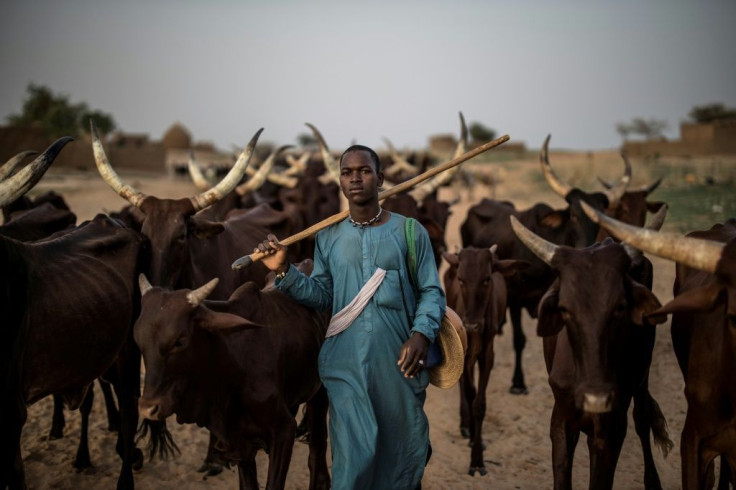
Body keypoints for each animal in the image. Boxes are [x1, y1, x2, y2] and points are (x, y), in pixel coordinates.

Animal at [136, 270, 330, 490]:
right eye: (139, 340)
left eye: (179, 341)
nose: (148, 408)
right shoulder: (239, 445)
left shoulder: (283, 430)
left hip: (320, 394)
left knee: (318, 455)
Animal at [440, 247, 528, 476]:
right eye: (461, 279)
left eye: (487, 278)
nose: (471, 324)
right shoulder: (466, 351)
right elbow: (470, 393)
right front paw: (472, 438)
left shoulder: (488, 353)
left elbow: (479, 403)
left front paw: (478, 459)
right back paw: (465, 424)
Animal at [508, 217, 676, 490]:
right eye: (565, 309)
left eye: (619, 307)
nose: (596, 397)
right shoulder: (561, 418)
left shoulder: (612, 427)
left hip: (642, 377)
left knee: (642, 418)